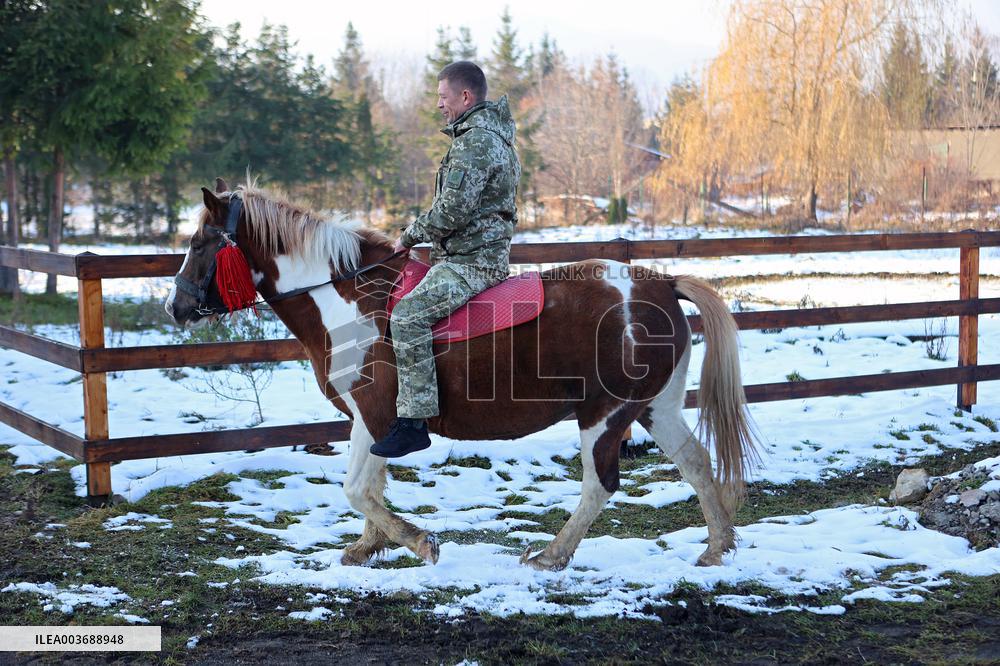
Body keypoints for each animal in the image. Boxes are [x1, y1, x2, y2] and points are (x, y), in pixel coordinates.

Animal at [165, 178, 759, 571]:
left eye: (198, 244)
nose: (176, 307)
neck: (348, 298)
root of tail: (662, 283)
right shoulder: (373, 423)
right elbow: (371, 485)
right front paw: (367, 547)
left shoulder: (371, 413)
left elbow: (357, 488)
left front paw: (417, 542)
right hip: (655, 409)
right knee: (696, 463)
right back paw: (716, 547)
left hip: (604, 416)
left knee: (599, 485)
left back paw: (551, 555)